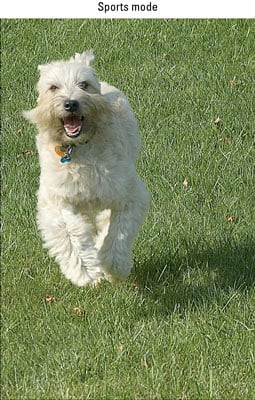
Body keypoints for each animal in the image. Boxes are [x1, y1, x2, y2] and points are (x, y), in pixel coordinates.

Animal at [23, 51, 149, 286]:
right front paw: (87, 272)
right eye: (53, 87)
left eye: (84, 84)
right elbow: (70, 233)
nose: (70, 104)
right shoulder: (56, 199)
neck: (79, 148)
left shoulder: (128, 194)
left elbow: (118, 232)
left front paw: (113, 268)